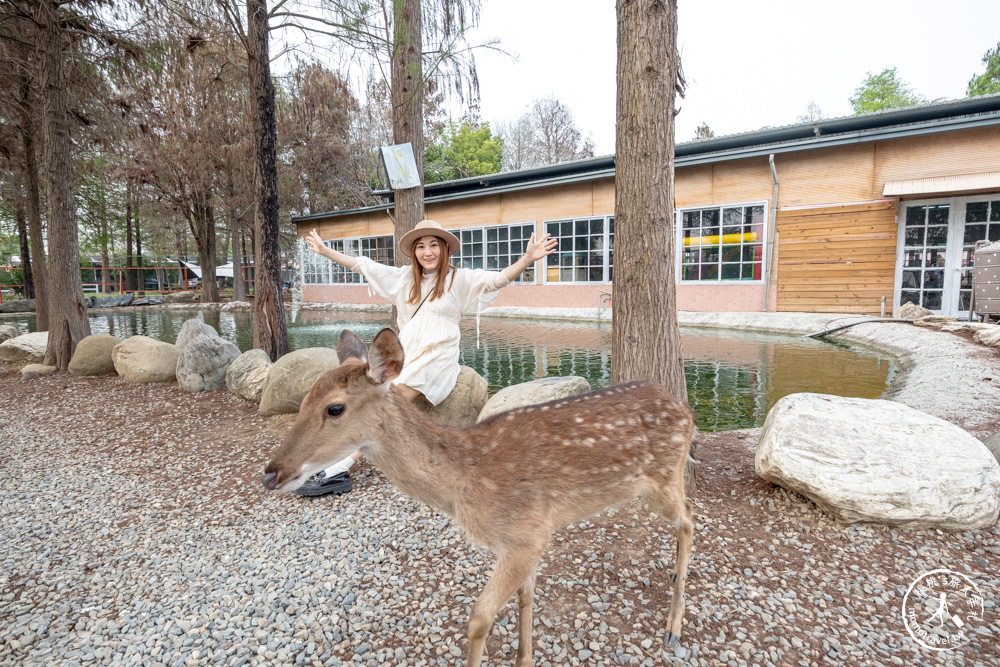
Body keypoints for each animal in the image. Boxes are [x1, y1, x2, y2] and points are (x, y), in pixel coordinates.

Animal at [260, 330, 696, 667]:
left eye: (335, 408)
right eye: (302, 401)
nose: (270, 473)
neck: (466, 484)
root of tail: (686, 410)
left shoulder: (527, 534)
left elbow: (478, 619)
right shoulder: (528, 538)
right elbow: (525, 597)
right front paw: (525, 659)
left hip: (662, 477)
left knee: (690, 519)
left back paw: (673, 629)